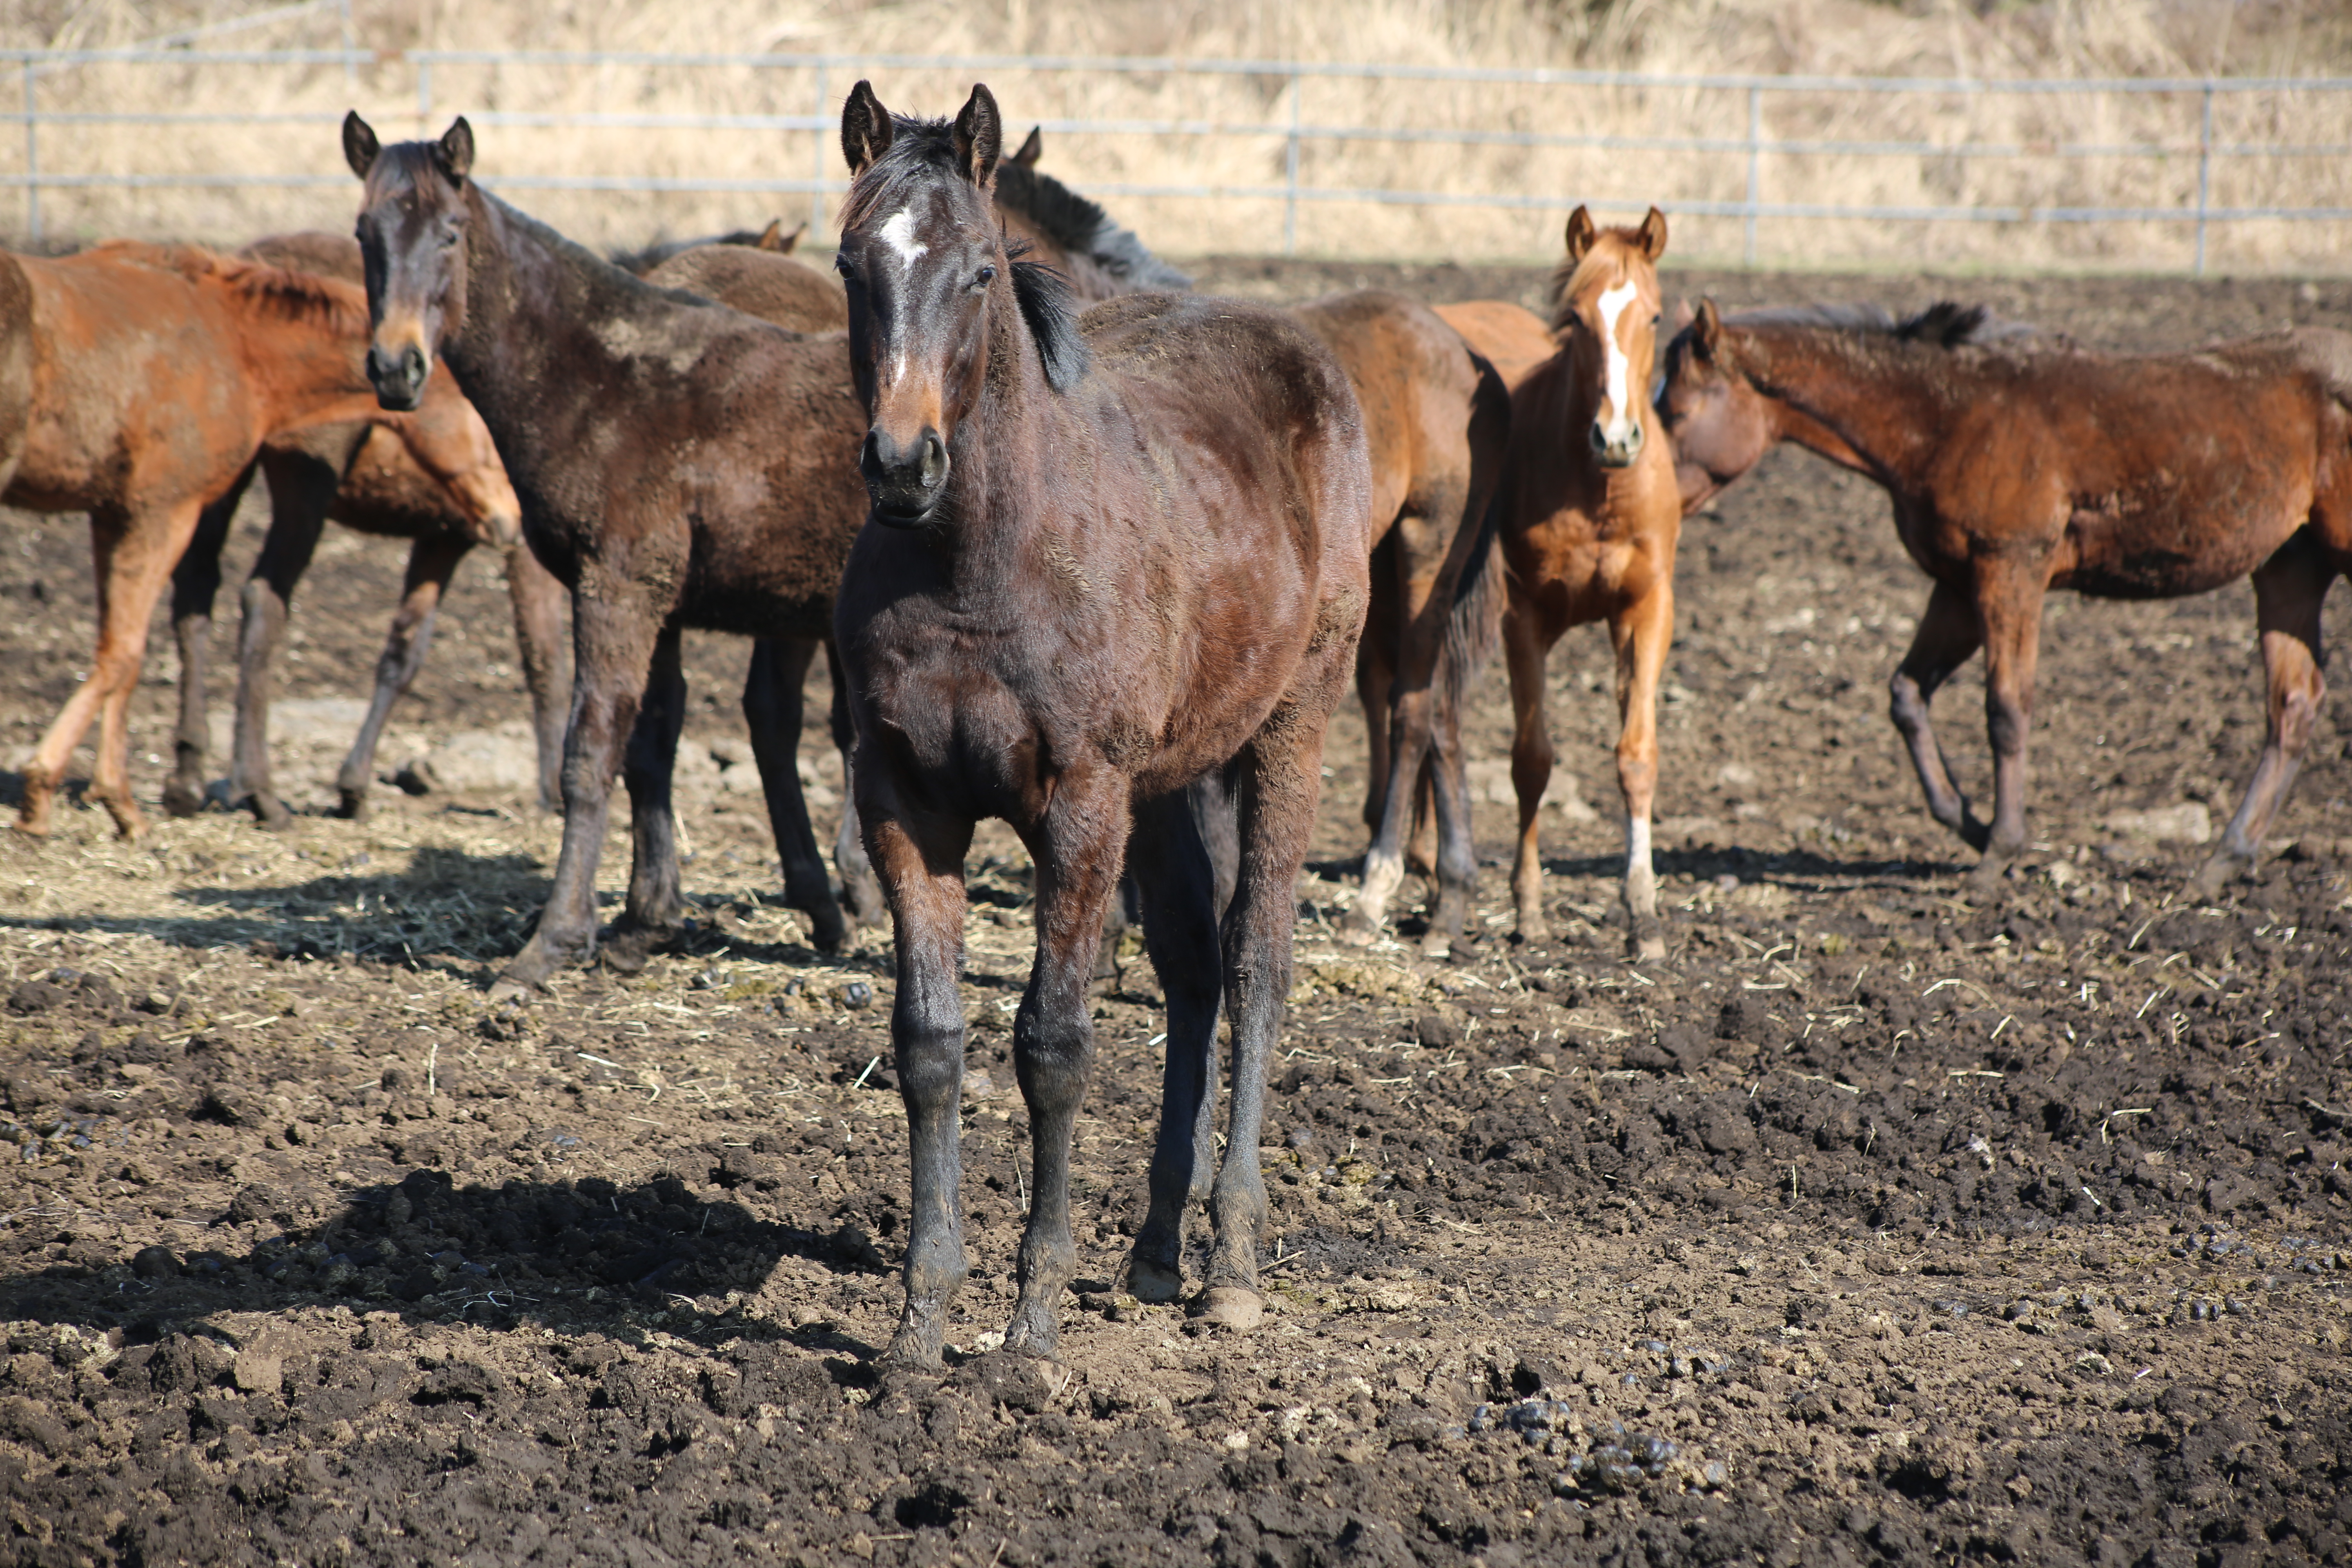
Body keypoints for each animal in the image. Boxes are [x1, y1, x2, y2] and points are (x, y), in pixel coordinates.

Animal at [4, 241, 432, 842]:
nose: (407, 375)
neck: (237, 344)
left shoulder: (114, 515)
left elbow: (121, 652)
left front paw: (118, 800)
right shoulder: (165, 510)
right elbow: (125, 655)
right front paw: (46, 792)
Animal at [163, 230, 567, 832]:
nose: (508, 519)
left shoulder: (445, 536)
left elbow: (404, 653)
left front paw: (353, 786)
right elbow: (544, 655)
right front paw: (554, 788)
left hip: (223, 475)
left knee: (196, 591)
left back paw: (188, 777)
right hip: (305, 487)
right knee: (263, 602)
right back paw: (258, 790)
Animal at [348, 116, 884, 987]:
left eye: (451, 234)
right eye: (365, 234)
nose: (396, 369)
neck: (605, 381)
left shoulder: (618, 590)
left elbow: (589, 753)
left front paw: (552, 942)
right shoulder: (656, 604)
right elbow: (649, 749)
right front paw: (644, 923)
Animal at [833, 82, 1373, 1363]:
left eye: (980, 270)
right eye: (848, 265)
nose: (902, 464)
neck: (977, 566)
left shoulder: (1079, 806)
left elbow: (1054, 1044)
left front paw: (1029, 1322)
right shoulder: (902, 802)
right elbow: (930, 1043)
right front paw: (921, 1321)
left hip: (1293, 724)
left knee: (1254, 962)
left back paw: (1231, 1264)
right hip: (1169, 780)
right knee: (1189, 967)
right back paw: (1158, 1247)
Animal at [1656, 297, 2352, 893]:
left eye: (1677, 414)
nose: (1646, 498)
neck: (1949, 419)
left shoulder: (2011, 569)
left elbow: (2006, 709)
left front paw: (2000, 850)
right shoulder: (1958, 586)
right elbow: (1908, 694)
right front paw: (1969, 822)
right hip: (2289, 569)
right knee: (2293, 707)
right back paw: (2222, 862)